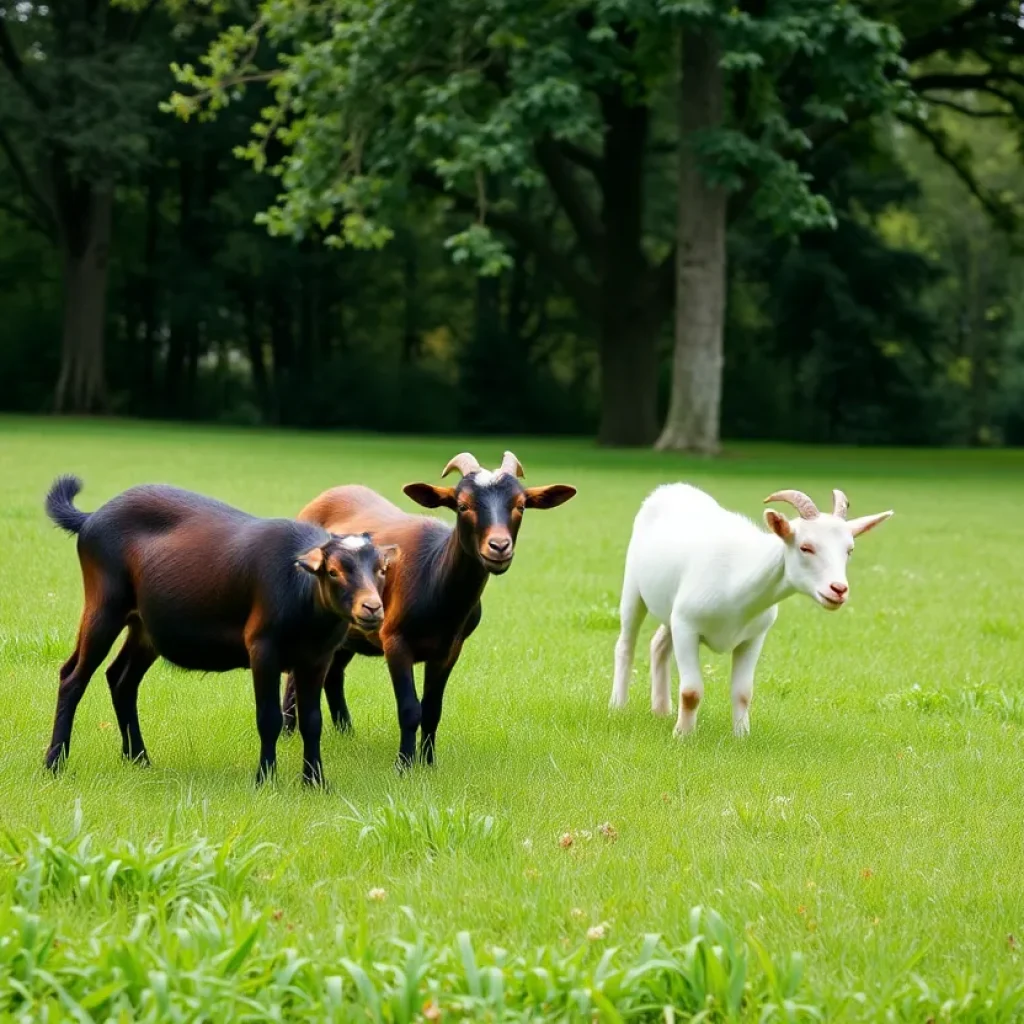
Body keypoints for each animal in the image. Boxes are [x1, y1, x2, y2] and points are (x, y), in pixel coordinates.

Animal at [43, 475, 391, 786]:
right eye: (333, 571)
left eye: (381, 569)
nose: (372, 608)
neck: (301, 594)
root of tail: (90, 518)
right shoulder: (262, 649)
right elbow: (269, 718)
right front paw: (265, 780)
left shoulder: (317, 658)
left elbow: (312, 721)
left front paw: (315, 782)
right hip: (104, 608)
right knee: (73, 677)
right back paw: (54, 763)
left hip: (144, 628)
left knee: (121, 679)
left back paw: (138, 758)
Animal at [282, 448, 577, 770]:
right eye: (462, 505)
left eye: (521, 505)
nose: (499, 547)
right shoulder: (394, 639)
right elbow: (410, 709)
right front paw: (404, 764)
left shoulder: (450, 647)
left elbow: (433, 709)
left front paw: (429, 762)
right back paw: (288, 733)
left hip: (350, 632)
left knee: (334, 674)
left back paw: (346, 732)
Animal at [610, 485, 892, 737]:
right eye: (805, 547)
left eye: (849, 550)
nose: (838, 589)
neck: (737, 580)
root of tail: (670, 488)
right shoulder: (686, 627)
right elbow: (691, 692)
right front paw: (683, 735)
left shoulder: (753, 637)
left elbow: (743, 692)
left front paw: (741, 735)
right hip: (633, 588)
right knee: (626, 645)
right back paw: (618, 706)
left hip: (670, 610)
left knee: (658, 644)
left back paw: (661, 710)